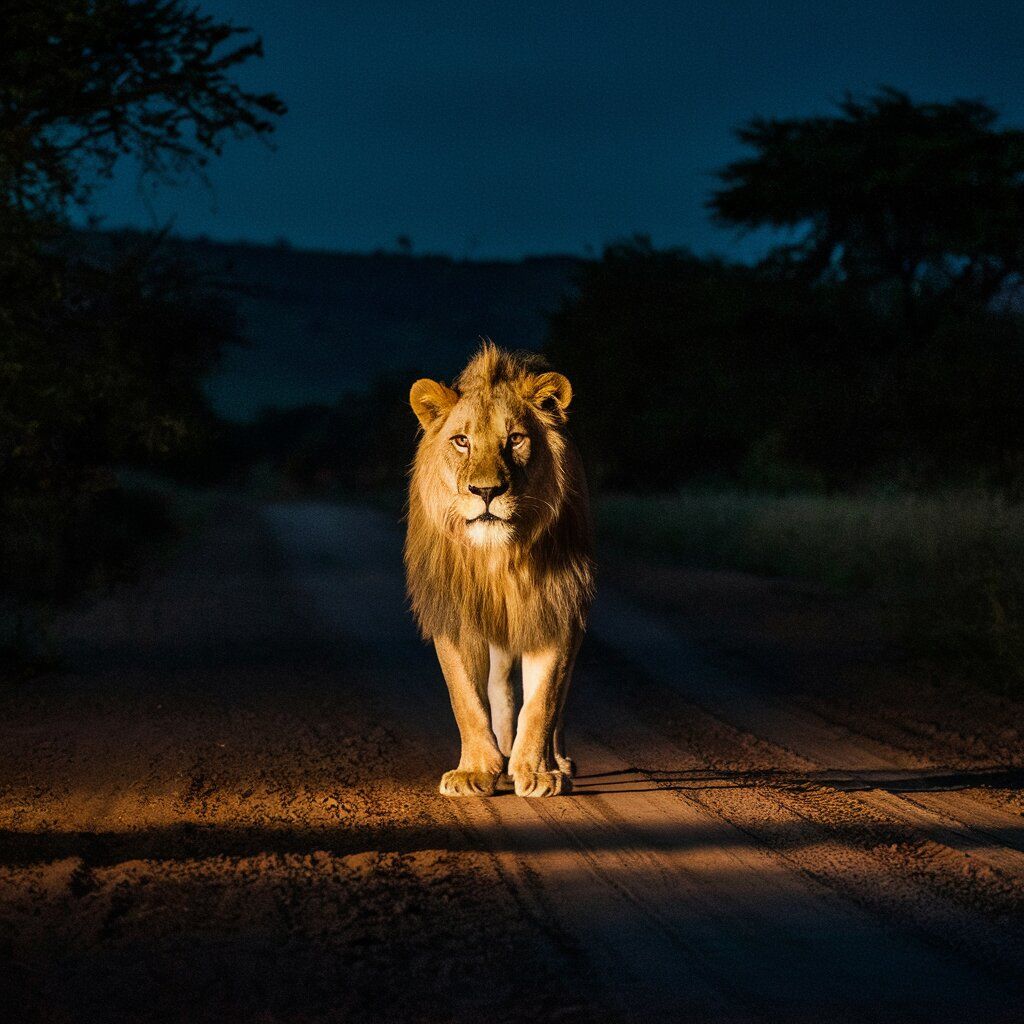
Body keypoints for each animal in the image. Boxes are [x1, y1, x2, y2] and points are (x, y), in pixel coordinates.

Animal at [404, 342, 595, 798]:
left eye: (515, 439)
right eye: (461, 441)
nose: (487, 491)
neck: (497, 556)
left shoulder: (555, 605)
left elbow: (544, 699)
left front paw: (539, 772)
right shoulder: (454, 613)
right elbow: (467, 699)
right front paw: (475, 770)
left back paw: (555, 760)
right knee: (499, 686)